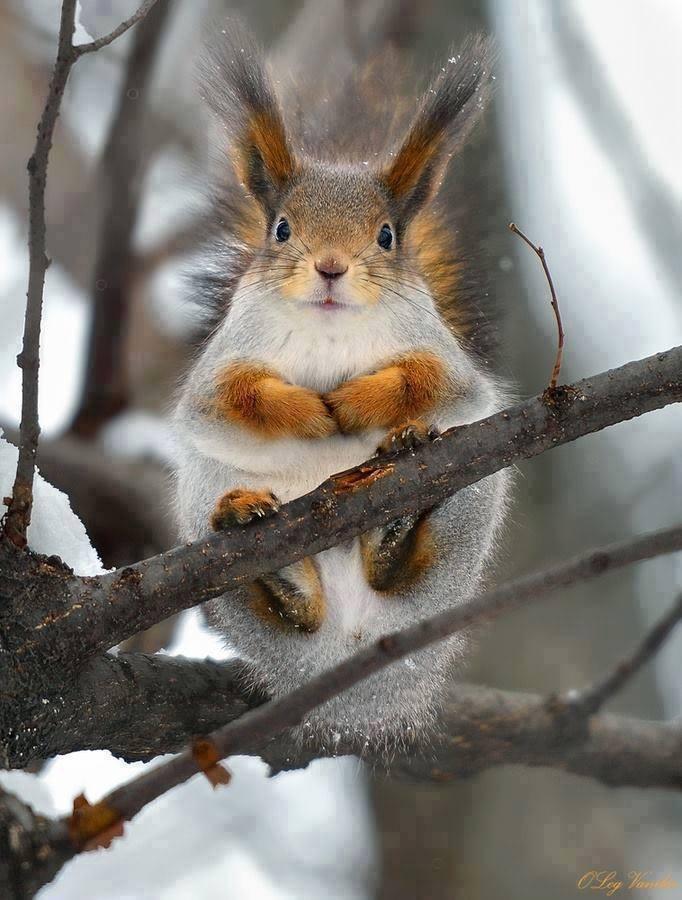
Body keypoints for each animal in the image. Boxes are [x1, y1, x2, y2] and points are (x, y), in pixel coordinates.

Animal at [171, 26, 510, 744]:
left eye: (385, 235)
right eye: (281, 228)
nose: (330, 268)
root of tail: (351, 656)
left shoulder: (448, 365)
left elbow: (428, 382)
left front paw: (355, 403)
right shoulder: (220, 370)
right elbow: (235, 399)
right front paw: (309, 411)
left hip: (471, 501)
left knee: (406, 569)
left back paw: (397, 522)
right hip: (201, 501)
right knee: (290, 609)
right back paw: (260, 541)